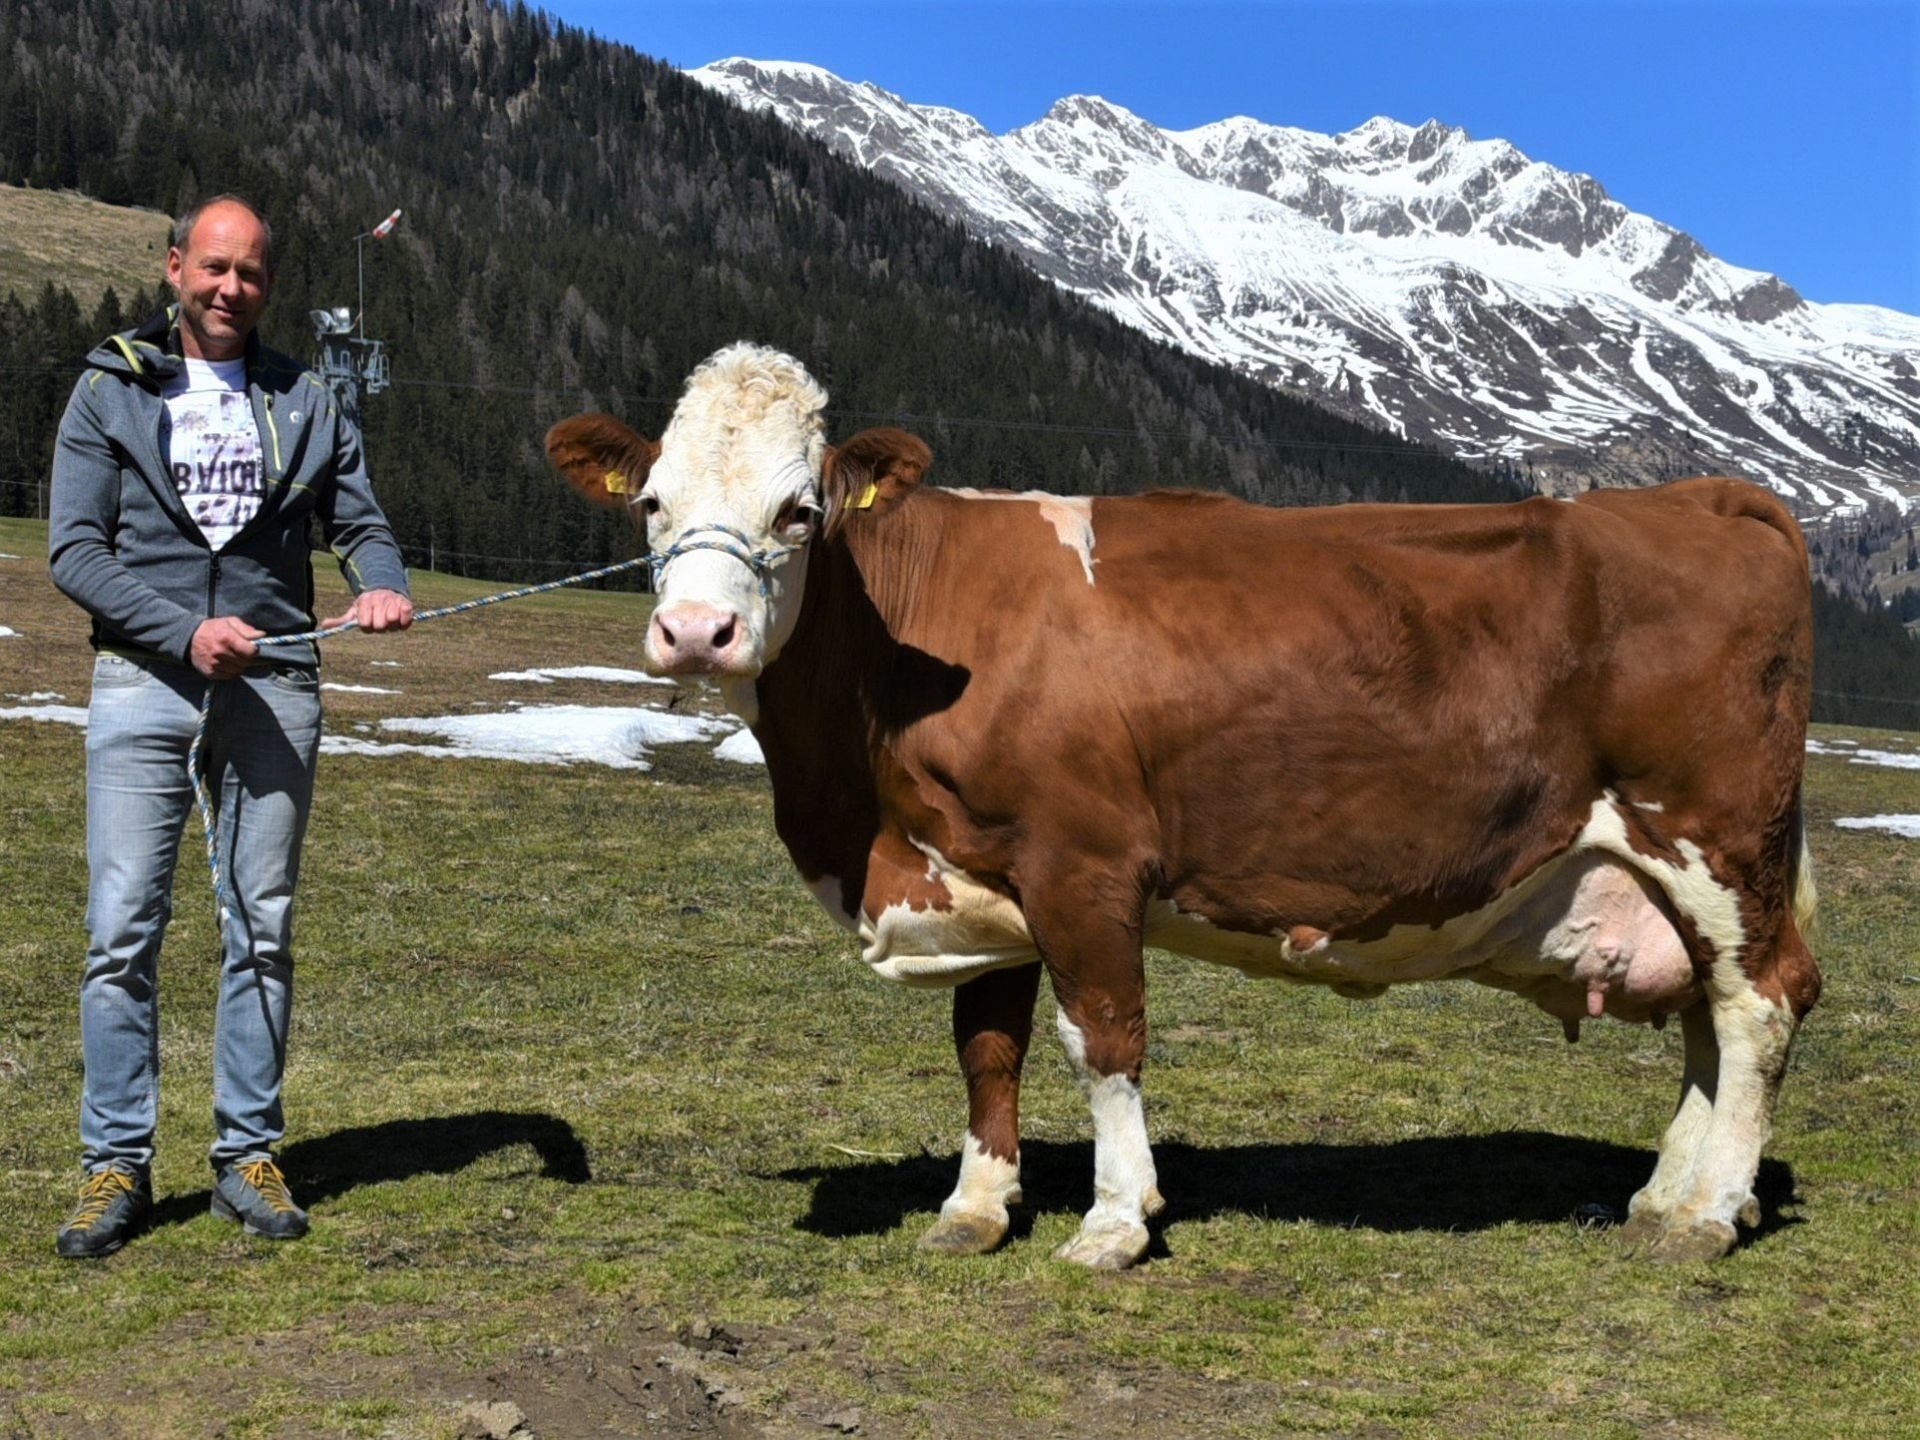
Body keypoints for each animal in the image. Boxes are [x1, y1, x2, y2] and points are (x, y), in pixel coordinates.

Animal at [549, 343, 1820, 1267]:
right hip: (1672, 865)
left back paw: (1709, 1216)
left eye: (799, 511)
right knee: (1708, 1016)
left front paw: (1115, 1221)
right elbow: (988, 1046)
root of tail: (1704, 497)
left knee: (1759, 1005)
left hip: (1714, 836)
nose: (697, 634)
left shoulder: (1082, 863)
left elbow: (1104, 1039)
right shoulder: (979, 866)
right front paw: (976, 1206)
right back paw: (1665, 1194)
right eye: (652, 502)